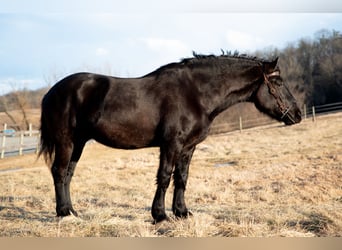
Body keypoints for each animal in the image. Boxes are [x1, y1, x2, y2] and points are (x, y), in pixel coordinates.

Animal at [40, 53, 300, 223]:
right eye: (278, 82)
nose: (297, 114)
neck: (195, 93)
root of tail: (52, 92)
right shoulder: (171, 144)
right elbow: (164, 177)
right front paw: (160, 216)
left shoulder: (188, 147)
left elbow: (182, 178)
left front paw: (182, 212)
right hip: (66, 141)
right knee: (59, 172)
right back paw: (63, 213)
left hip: (79, 143)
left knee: (68, 174)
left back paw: (72, 211)